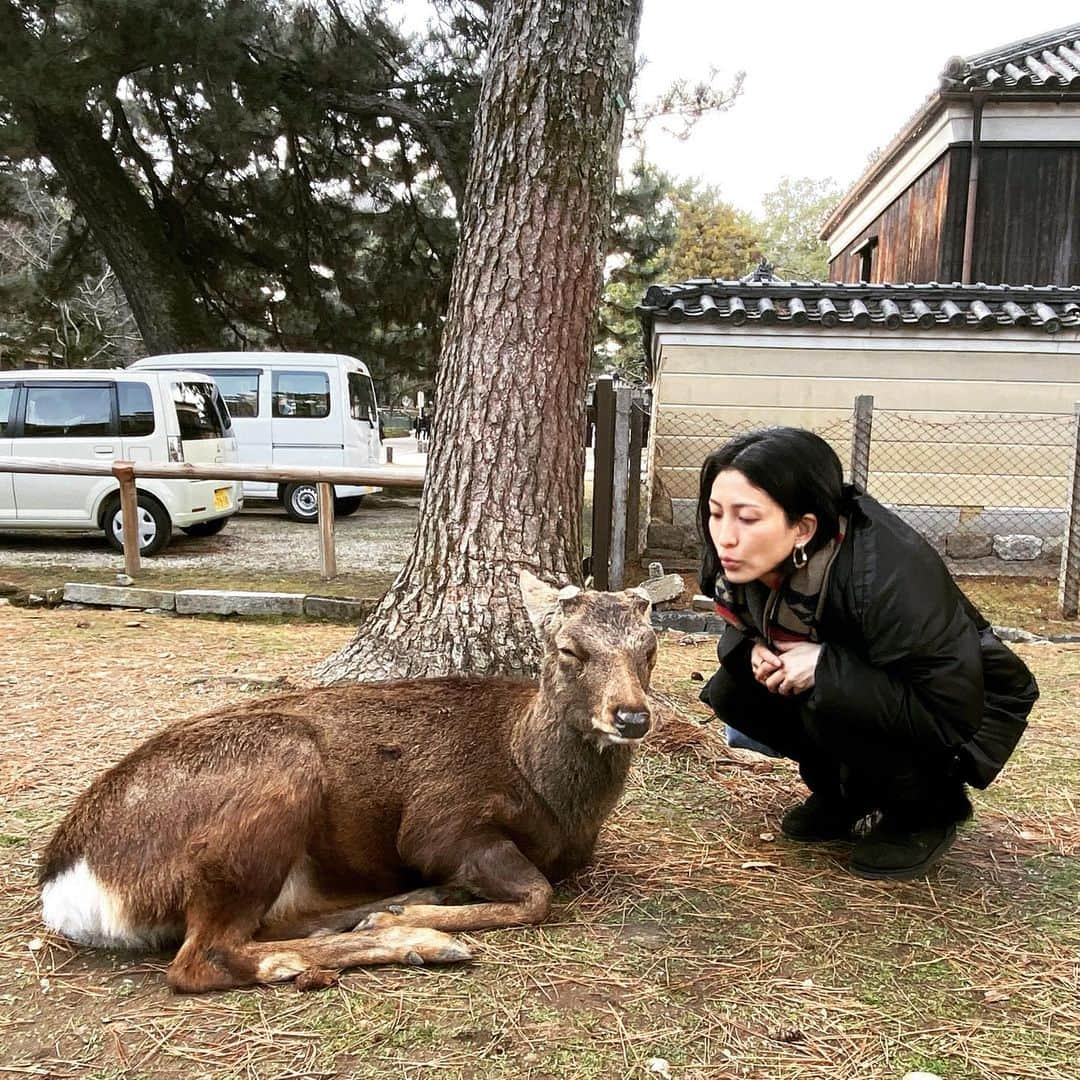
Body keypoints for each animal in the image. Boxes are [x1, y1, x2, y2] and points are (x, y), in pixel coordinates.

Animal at [39, 570, 656, 989]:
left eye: (649, 649)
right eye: (569, 648)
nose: (632, 716)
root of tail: (66, 884)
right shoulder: (440, 822)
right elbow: (538, 895)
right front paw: (425, 918)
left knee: (279, 922)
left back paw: (400, 912)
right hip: (277, 774)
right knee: (203, 957)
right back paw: (416, 938)